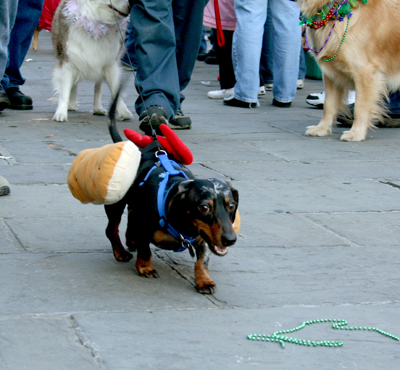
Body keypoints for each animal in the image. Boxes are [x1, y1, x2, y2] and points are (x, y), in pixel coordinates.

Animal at [300, 0, 400, 142]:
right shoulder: (331, 74)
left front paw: (356, 132)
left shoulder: (365, 73)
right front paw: (322, 128)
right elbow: (328, 105)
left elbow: (360, 106)